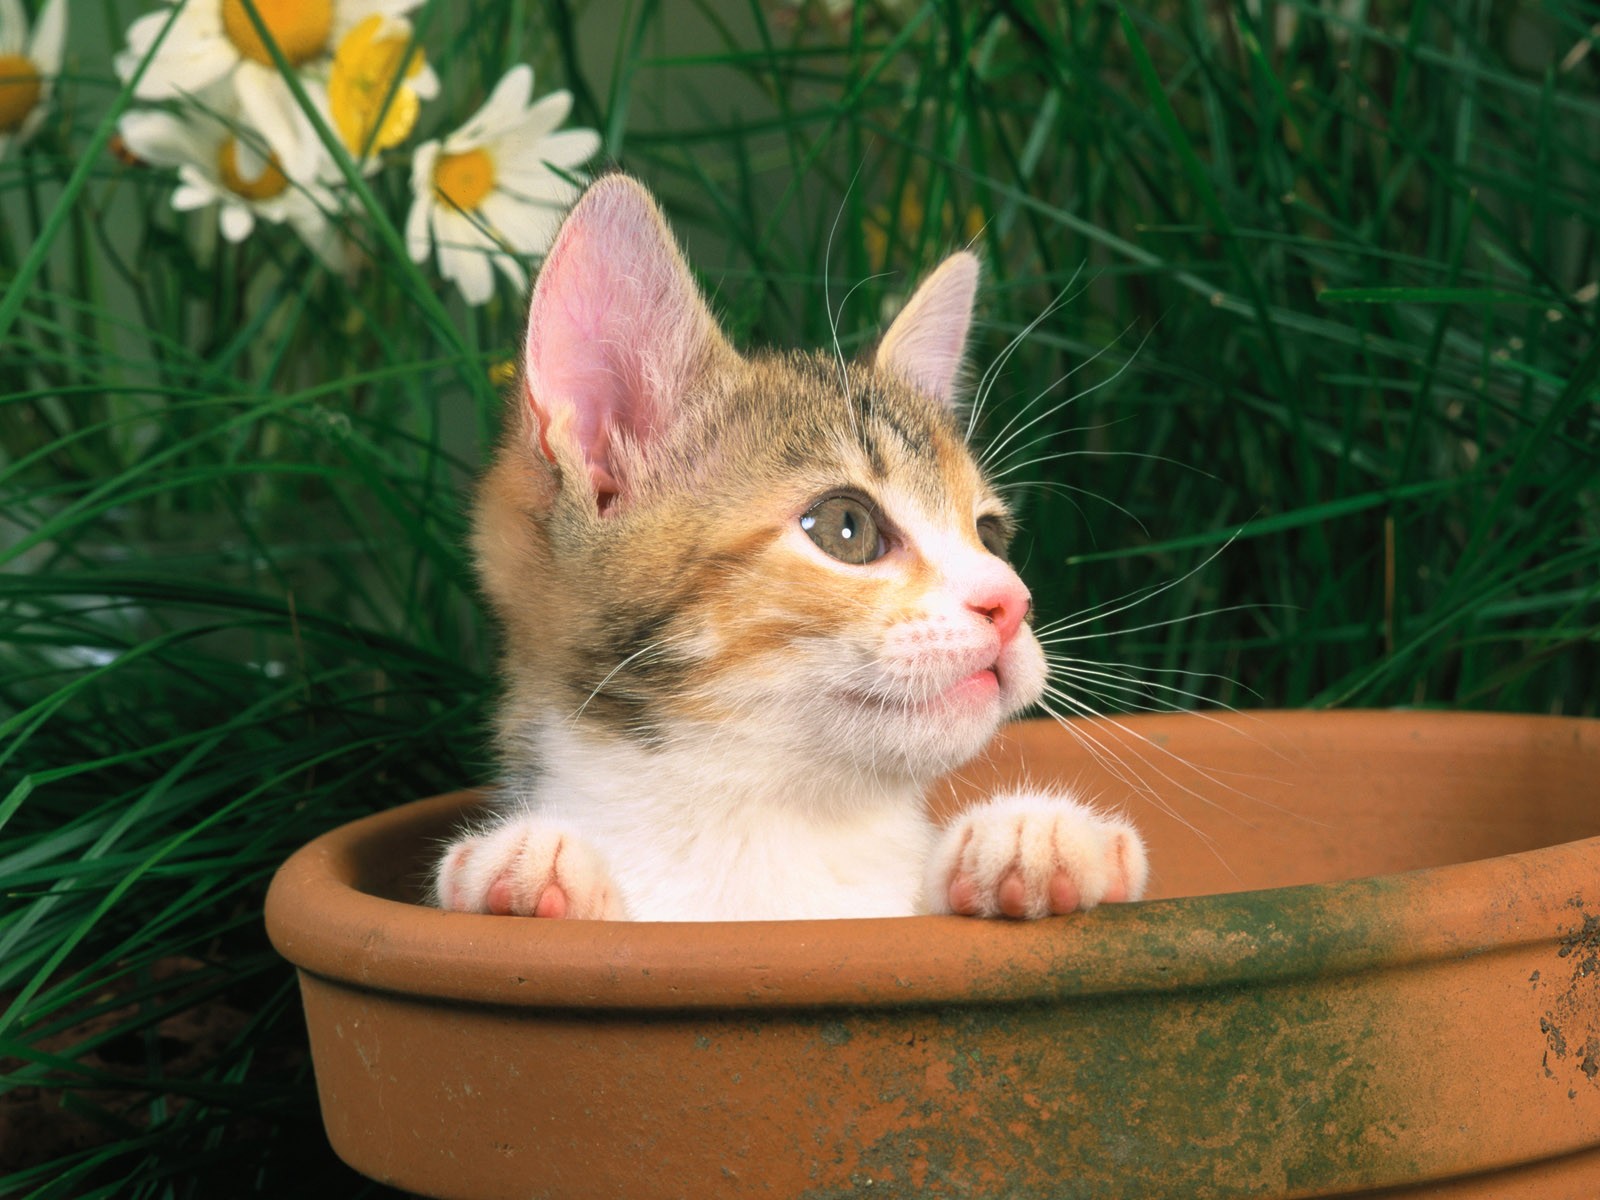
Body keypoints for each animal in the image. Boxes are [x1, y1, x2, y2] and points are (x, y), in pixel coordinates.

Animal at [432, 178, 1145, 928]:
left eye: (991, 536)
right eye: (846, 526)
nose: (1011, 601)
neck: (761, 830)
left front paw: (1035, 837)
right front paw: (530, 868)